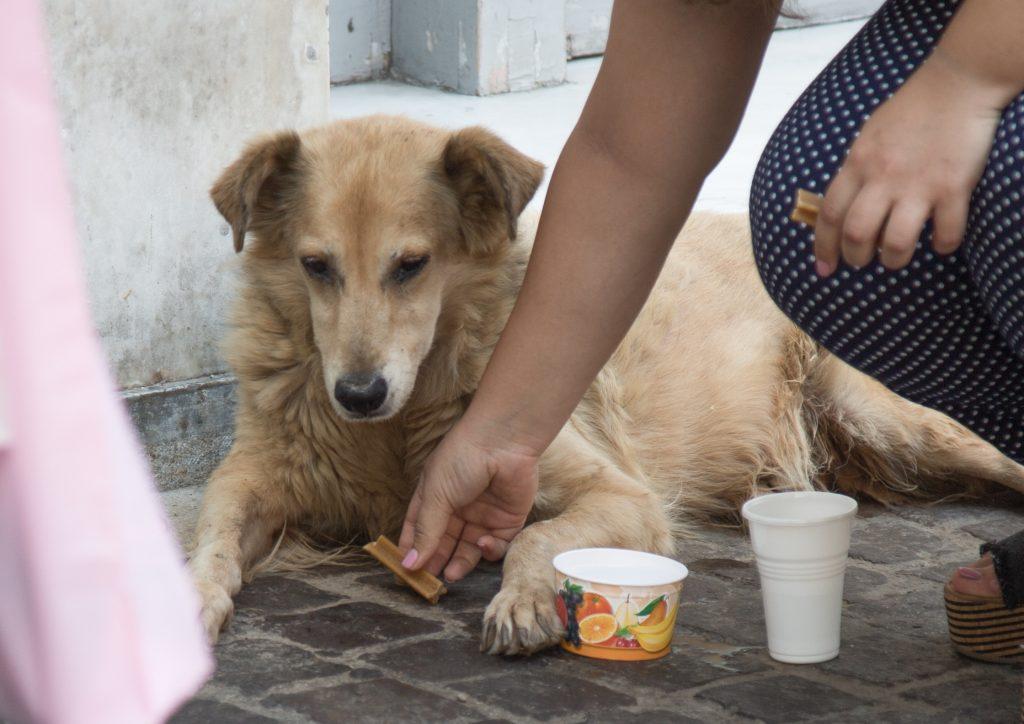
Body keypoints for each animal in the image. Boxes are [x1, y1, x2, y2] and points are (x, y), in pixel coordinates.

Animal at [190, 114, 1024, 655]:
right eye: (316, 266)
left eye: (411, 265)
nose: (358, 395)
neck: (393, 435)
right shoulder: (251, 478)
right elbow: (210, 537)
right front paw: (193, 601)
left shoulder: (622, 495)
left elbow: (538, 534)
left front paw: (526, 597)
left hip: (890, 417)